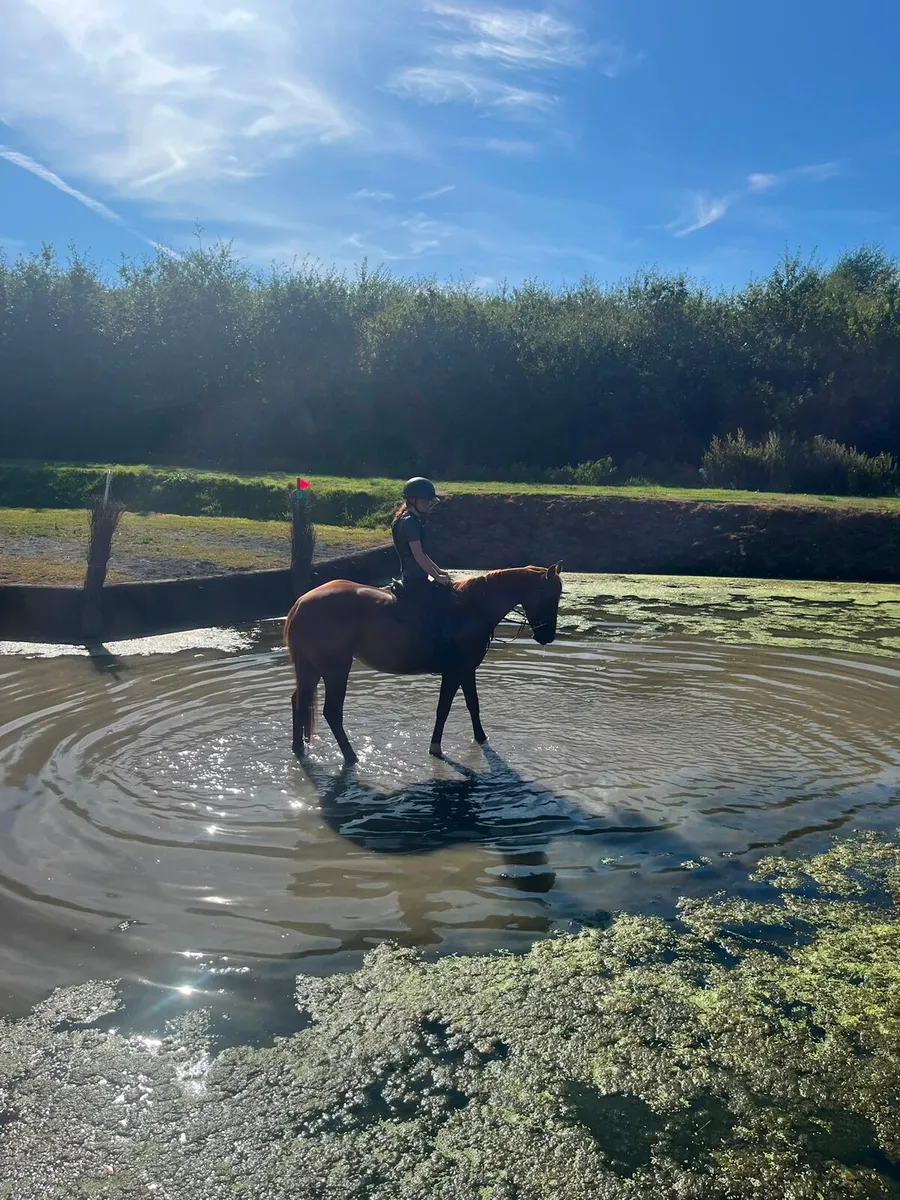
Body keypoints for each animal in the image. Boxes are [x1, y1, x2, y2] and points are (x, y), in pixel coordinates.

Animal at [284, 564, 563, 763]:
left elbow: (473, 706)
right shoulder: (454, 673)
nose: (547, 636)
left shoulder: (466, 671)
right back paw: (351, 757)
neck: (472, 608)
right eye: (550, 595)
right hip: (336, 669)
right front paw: (435, 747)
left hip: (310, 668)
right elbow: (443, 709)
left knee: (299, 700)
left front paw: (481, 738)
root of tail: (300, 603)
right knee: (332, 711)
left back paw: (298, 749)